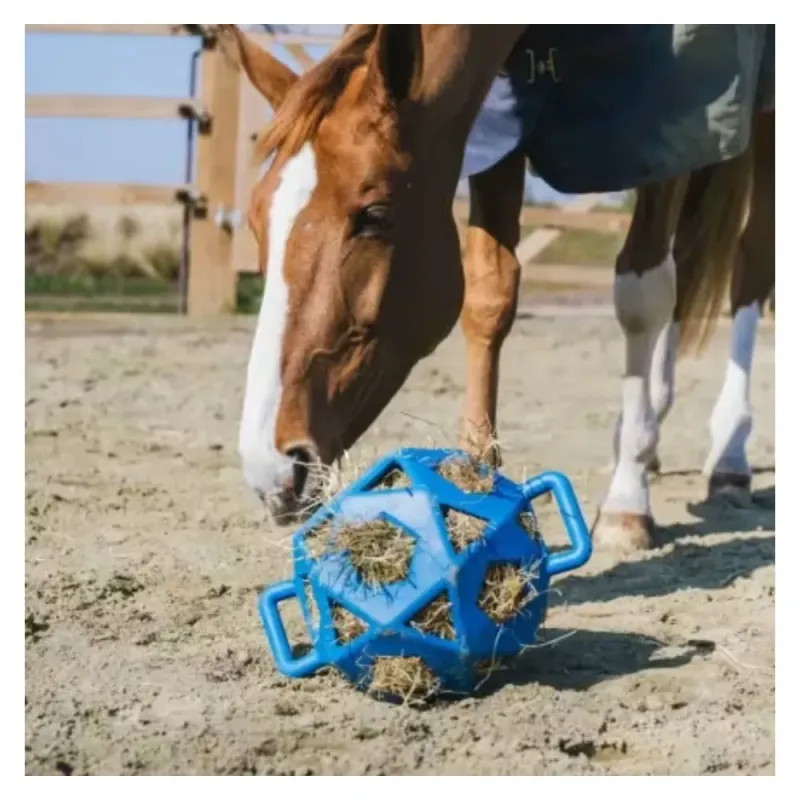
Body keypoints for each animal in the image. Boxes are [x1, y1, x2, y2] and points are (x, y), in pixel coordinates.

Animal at [222, 25, 774, 553]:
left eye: (374, 215)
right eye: (256, 219)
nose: (272, 466)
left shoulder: (659, 124)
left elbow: (641, 298)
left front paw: (626, 501)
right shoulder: (496, 126)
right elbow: (489, 296)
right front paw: (471, 486)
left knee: (749, 264)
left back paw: (729, 453)